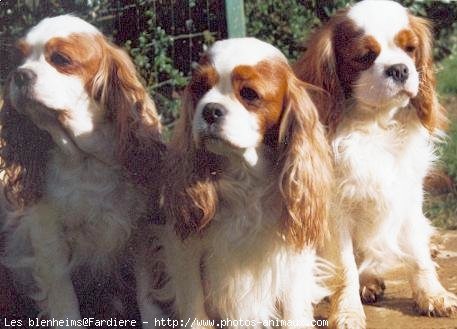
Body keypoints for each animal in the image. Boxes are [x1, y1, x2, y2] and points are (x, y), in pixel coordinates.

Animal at [0, 14, 164, 322]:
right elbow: (64, 301)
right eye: (19, 58)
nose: (20, 74)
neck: (85, 160)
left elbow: (147, 294)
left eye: (61, 59)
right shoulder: (49, 239)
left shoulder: (139, 230)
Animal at [150, 37, 332, 326]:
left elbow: (294, 310)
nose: (210, 110)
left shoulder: (293, 255)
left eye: (249, 94)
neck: (244, 175)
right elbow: (193, 305)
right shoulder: (184, 249)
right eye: (200, 88)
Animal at [294, 1, 454, 326]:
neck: (376, 125)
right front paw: (347, 311)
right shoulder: (335, 213)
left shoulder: (408, 198)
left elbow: (418, 253)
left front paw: (432, 295)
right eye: (365, 56)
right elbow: (344, 269)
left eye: (410, 49)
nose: (400, 69)